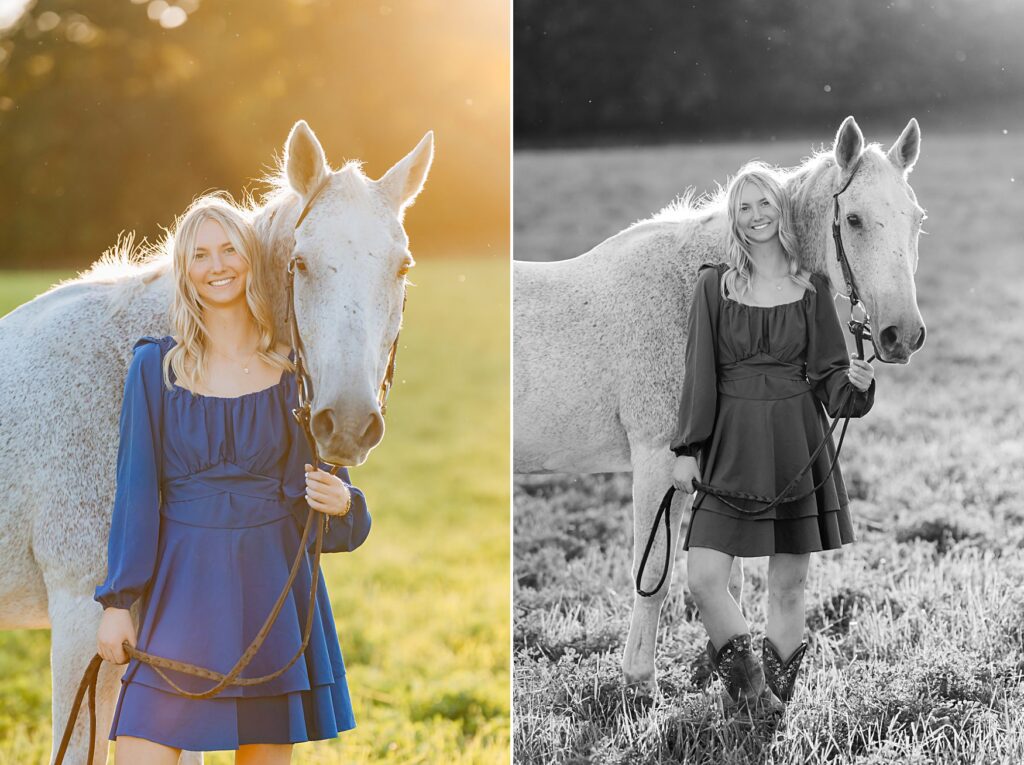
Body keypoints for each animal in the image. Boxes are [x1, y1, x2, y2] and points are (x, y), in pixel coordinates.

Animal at [516, 115, 925, 692]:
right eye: (854, 219)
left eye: (917, 219)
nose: (901, 335)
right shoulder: (658, 463)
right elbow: (655, 574)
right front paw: (639, 683)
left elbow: (727, 570)